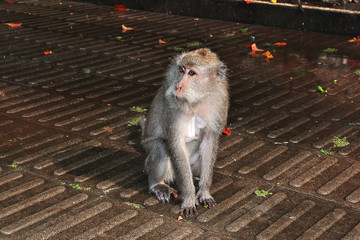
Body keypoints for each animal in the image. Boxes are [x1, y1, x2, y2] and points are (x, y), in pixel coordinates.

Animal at [141, 48, 228, 218]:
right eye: (181, 70)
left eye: (192, 73)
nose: (178, 86)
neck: (197, 100)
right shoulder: (172, 105)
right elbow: (176, 144)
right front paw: (189, 198)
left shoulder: (219, 101)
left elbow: (209, 142)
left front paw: (204, 191)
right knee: (161, 145)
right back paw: (158, 185)